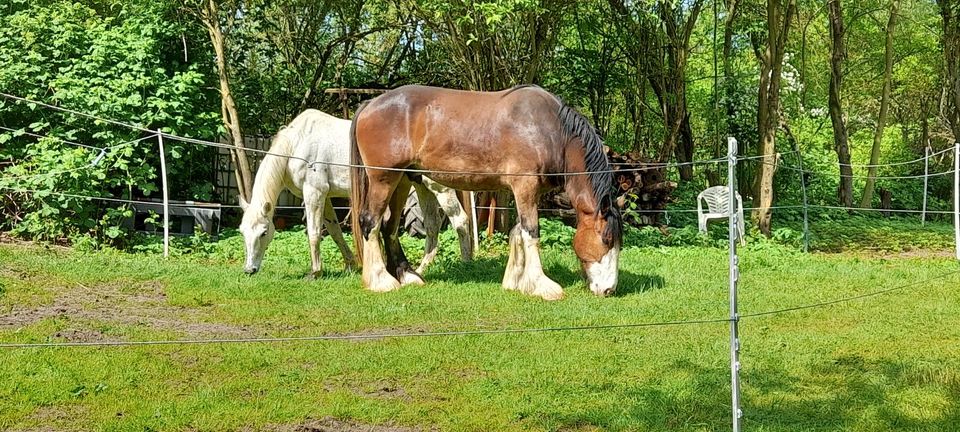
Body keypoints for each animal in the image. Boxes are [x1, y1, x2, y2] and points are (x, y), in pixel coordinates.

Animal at [352, 84, 624, 300]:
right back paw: (381, 281)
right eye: (607, 239)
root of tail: (370, 104)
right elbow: (532, 233)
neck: (550, 130)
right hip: (383, 178)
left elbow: (518, 231)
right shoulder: (525, 186)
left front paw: (516, 281)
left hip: (402, 180)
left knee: (388, 227)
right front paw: (542, 286)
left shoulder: (525, 191)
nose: (609, 290)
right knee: (370, 221)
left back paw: (407, 276)